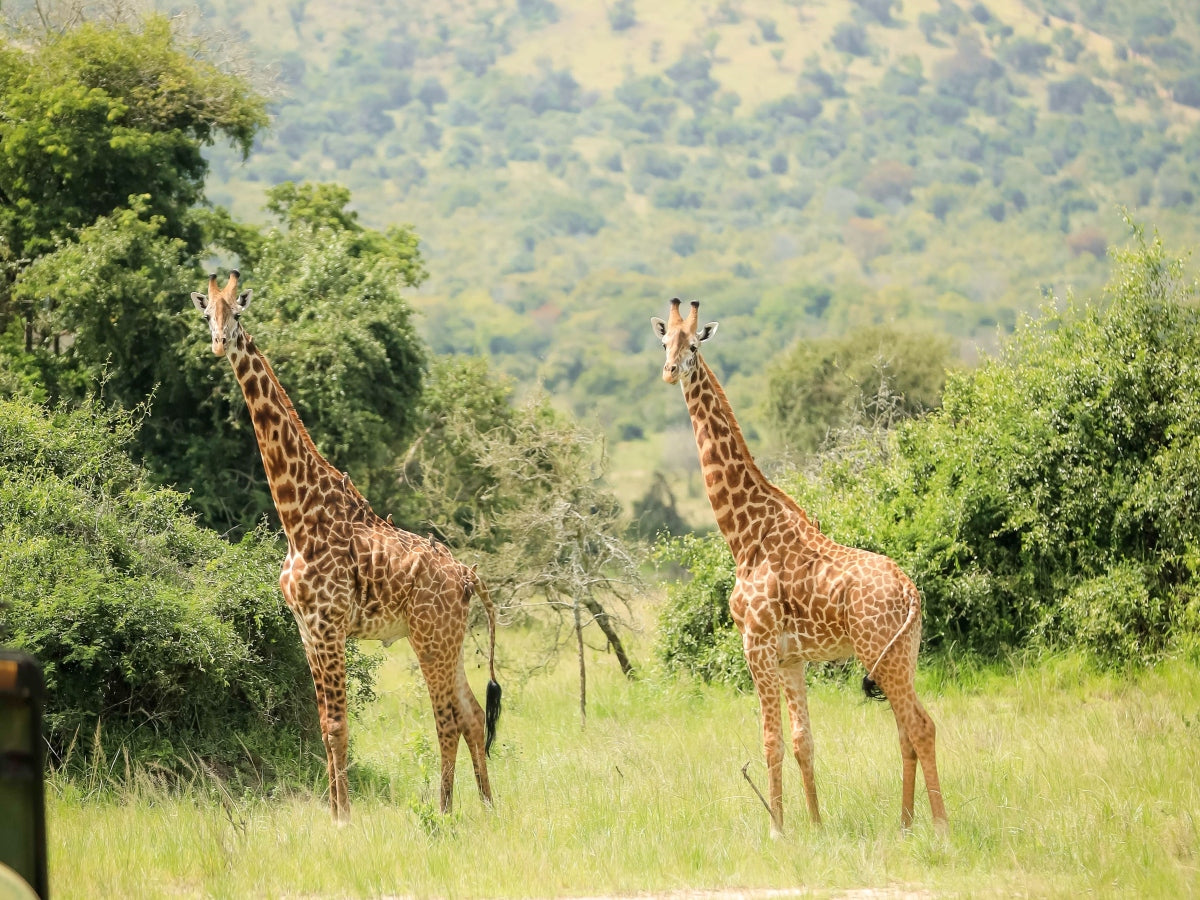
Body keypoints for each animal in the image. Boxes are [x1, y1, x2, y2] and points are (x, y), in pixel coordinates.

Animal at [192, 270, 501, 825]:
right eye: (207, 314)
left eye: (238, 313)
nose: (219, 343)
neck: (298, 514)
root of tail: (469, 576)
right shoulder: (307, 630)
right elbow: (323, 725)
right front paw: (333, 812)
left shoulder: (328, 624)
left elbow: (337, 726)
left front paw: (343, 818)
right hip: (449, 639)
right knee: (470, 715)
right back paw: (486, 806)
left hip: (430, 638)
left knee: (446, 718)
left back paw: (444, 810)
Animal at [652, 300, 950, 835]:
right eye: (665, 342)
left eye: (694, 347)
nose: (669, 371)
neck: (743, 535)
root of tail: (911, 592)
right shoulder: (791, 657)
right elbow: (802, 742)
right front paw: (815, 825)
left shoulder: (757, 644)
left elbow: (770, 741)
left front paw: (777, 829)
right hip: (903, 654)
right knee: (906, 730)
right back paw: (903, 825)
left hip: (880, 653)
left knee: (921, 726)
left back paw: (939, 829)